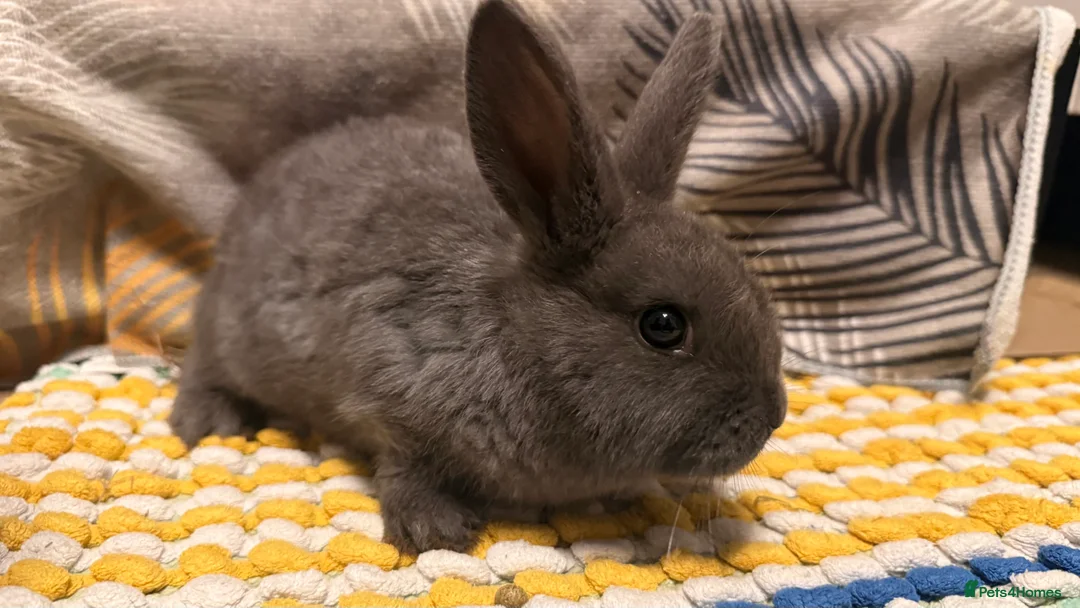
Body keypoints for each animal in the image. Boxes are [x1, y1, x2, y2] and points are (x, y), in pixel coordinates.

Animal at [168, 0, 788, 555]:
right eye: (662, 325)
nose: (772, 418)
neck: (517, 337)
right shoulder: (391, 397)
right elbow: (404, 465)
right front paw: (438, 531)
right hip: (230, 332)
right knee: (202, 365)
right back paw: (208, 423)